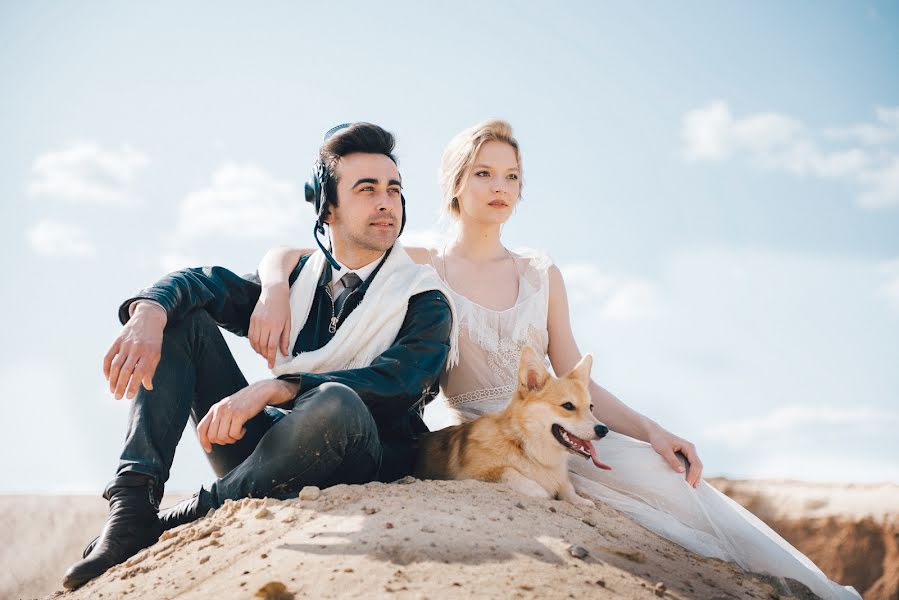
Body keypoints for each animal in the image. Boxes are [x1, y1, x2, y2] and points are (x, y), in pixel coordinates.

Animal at [414, 344, 612, 504]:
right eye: (568, 406)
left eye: (591, 407)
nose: (603, 430)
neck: (526, 448)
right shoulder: (471, 474)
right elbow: (509, 472)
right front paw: (540, 491)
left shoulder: (560, 479)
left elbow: (567, 488)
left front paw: (580, 500)